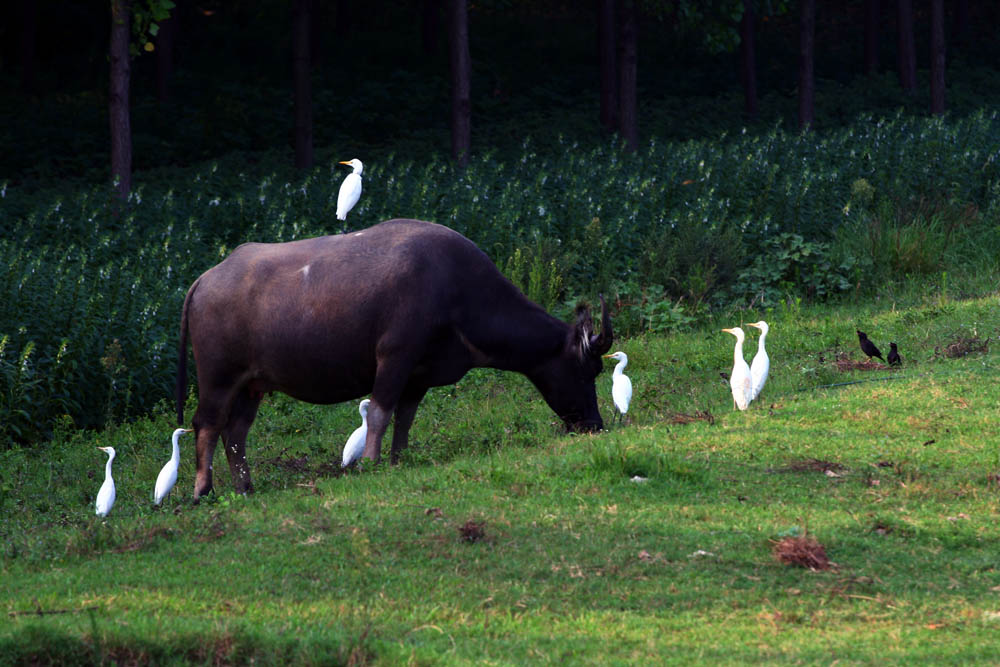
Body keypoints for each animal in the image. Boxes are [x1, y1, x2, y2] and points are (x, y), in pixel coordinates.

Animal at [177, 217, 612, 498]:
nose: (595, 424)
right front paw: (370, 462)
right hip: (217, 377)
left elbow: (405, 418)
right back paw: (203, 490)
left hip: (251, 384)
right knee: (208, 424)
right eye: (588, 368)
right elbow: (380, 412)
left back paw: (245, 488)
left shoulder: (419, 375)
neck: (456, 289)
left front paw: (398, 459)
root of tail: (206, 279)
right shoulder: (395, 357)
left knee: (236, 432)